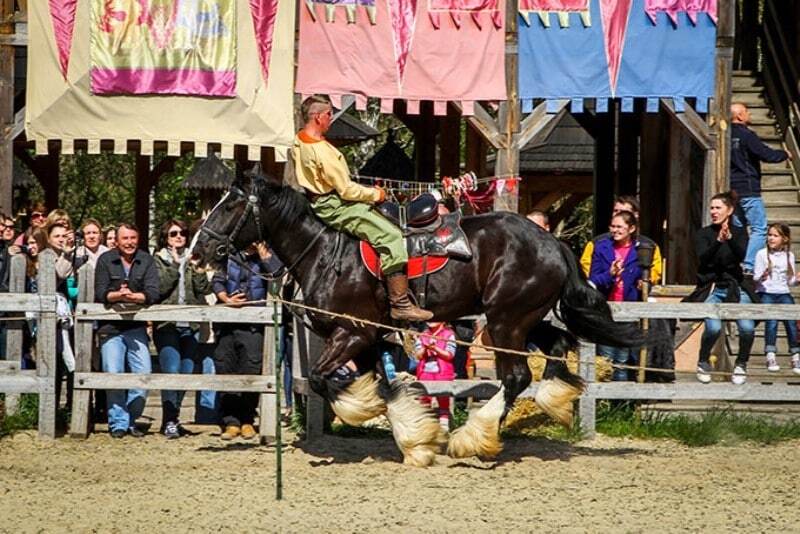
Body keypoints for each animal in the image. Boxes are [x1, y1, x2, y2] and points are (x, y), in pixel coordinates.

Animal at [191, 172, 640, 464]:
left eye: (230, 205)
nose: (197, 252)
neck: (325, 250)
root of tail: (552, 242)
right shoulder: (370, 339)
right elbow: (386, 387)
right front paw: (416, 440)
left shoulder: (353, 333)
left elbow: (323, 380)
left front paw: (364, 412)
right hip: (520, 319)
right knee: (557, 346)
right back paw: (554, 402)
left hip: (506, 322)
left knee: (516, 377)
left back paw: (473, 440)